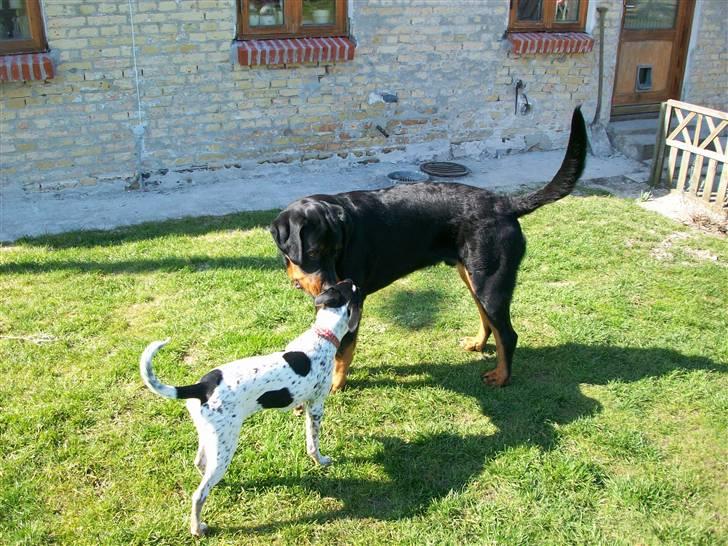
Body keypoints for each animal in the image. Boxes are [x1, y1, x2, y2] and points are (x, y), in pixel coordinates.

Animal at [139, 278, 362, 532]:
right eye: (353, 290)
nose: (352, 279)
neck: (322, 335)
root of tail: (201, 387)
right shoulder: (316, 406)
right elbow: (313, 443)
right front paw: (320, 461)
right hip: (226, 443)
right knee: (199, 494)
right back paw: (198, 528)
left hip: (210, 437)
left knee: (200, 464)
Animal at [270, 106, 588, 388]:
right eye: (314, 253)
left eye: (336, 252)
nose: (329, 286)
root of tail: (506, 203)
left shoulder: (351, 302)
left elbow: (342, 350)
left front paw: (335, 385)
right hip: (472, 277)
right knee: (489, 321)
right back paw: (478, 344)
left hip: (490, 283)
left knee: (508, 334)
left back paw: (501, 377)